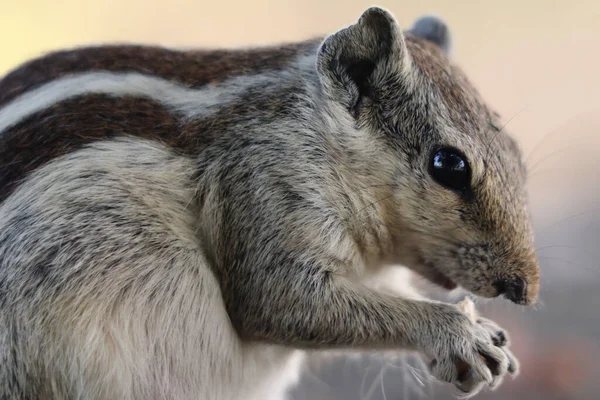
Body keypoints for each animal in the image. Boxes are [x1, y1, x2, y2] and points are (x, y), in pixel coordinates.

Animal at [0, 7, 540, 400]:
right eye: (449, 165)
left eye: (516, 152)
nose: (525, 290)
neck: (315, 133)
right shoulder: (261, 190)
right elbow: (279, 302)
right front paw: (457, 334)